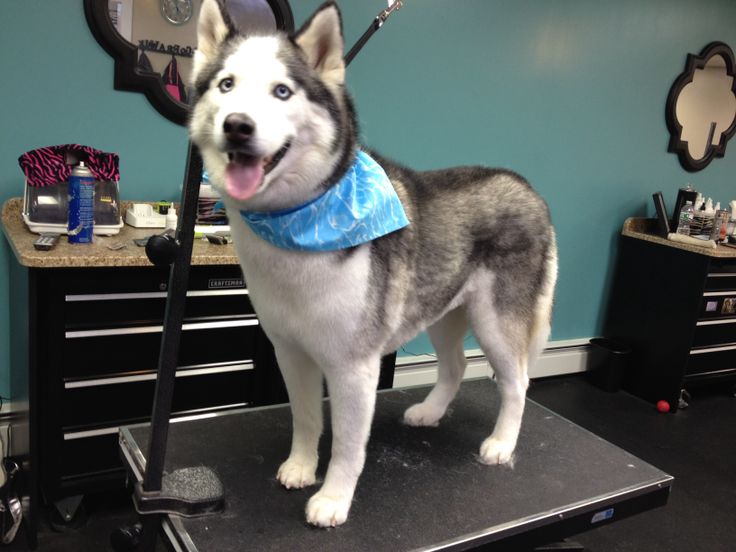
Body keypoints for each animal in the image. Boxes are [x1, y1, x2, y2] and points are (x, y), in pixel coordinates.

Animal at [190, 0, 556, 528]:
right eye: (226, 84)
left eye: (282, 91)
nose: (237, 124)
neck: (299, 226)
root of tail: (528, 188)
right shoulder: (291, 352)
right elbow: (305, 418)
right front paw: (301, 467)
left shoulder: (354, 368)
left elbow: (347, 444)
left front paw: (333, 499)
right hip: (442, 313)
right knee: (456, 366)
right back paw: (430, 411)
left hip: (496, 324)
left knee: (517, 382)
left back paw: (501, 443)